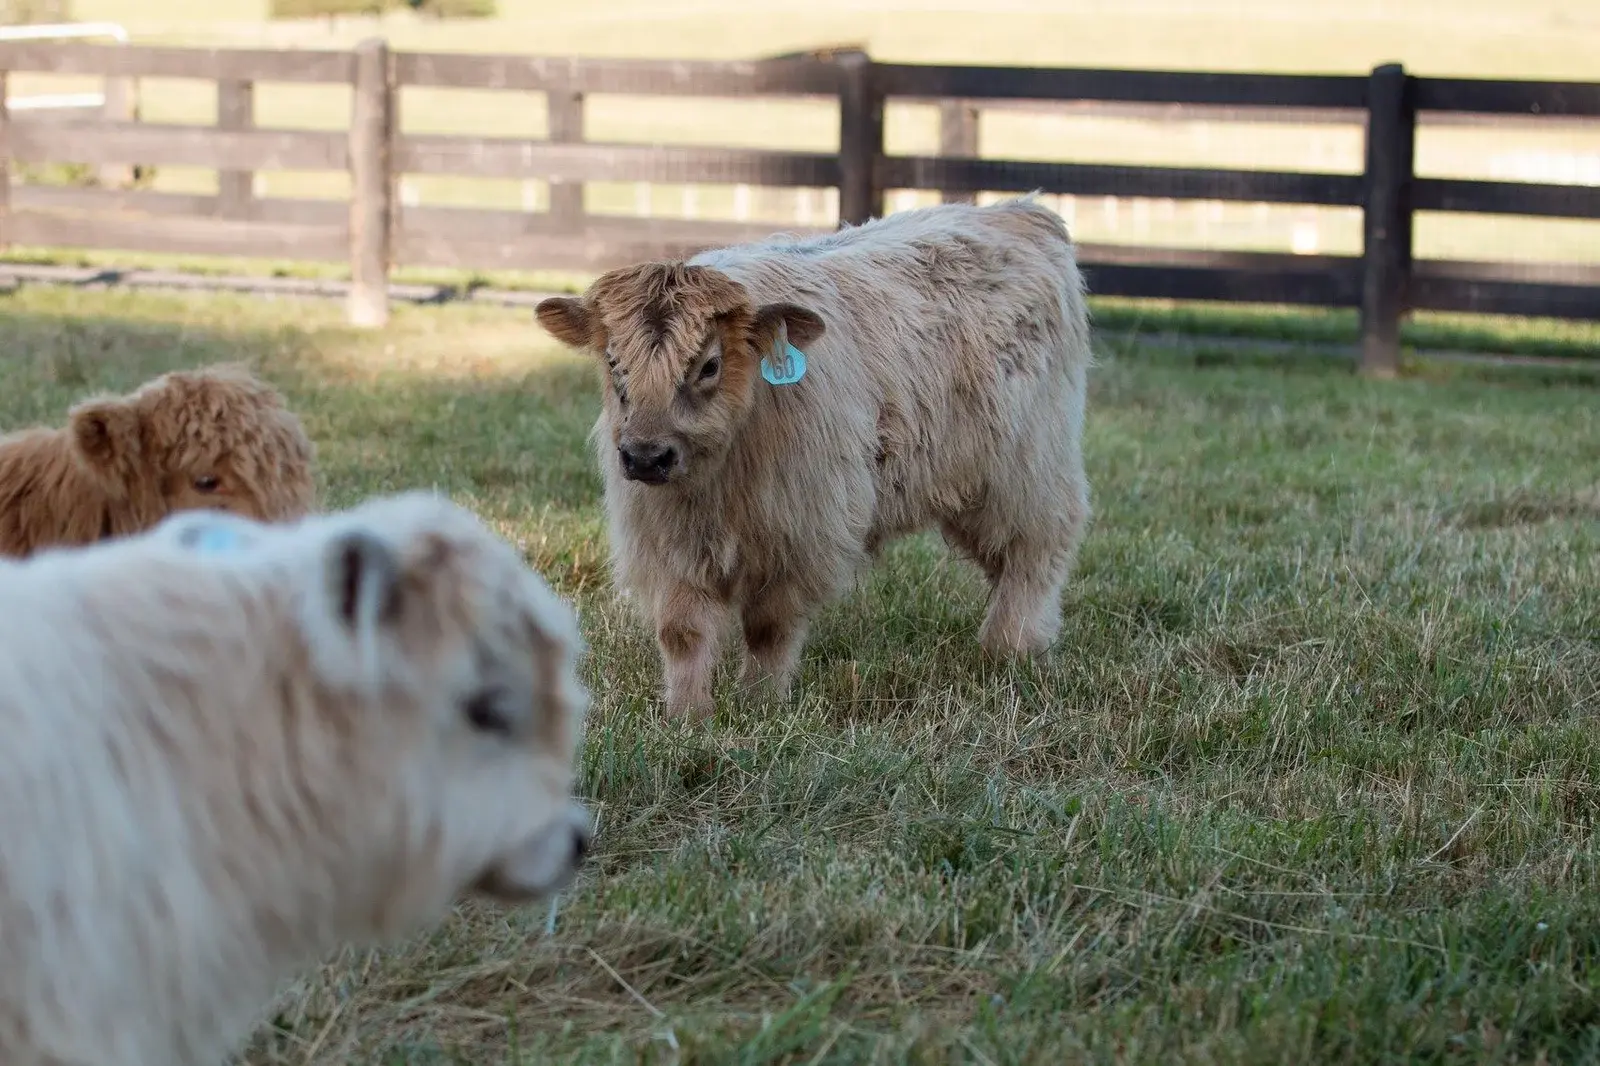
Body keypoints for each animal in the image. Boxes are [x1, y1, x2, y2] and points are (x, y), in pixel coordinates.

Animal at [535, 194, 1093, 720]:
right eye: (613, 362)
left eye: (709, 365)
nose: (646, 457)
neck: (715, 486)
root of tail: (1021, 211)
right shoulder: (662, 542)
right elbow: (683, 632)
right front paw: (688, 716)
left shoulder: (801, 535)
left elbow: (769, 627)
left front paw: (760, 703)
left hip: (1027, 471)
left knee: (1037, 550)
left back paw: (1012, 646)